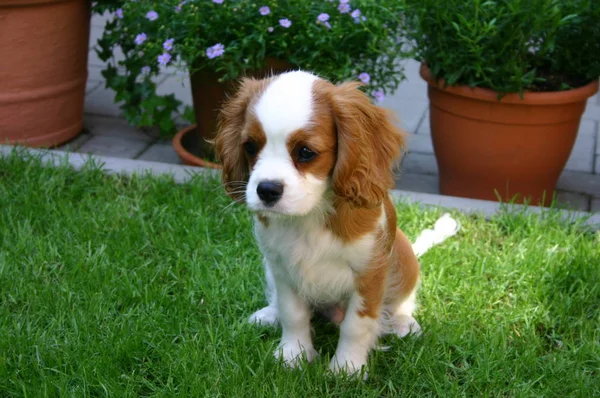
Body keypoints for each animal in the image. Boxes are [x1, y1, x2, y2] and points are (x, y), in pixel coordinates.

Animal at [216, 70, 454, 376]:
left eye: (306, 152)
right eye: (250, 147)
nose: (266, 190)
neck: (310, 215)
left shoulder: (370, 273)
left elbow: (356, 325)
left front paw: (347, 368)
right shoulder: (281, 267)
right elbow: (293, 314)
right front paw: (293, 355)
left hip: (403, 253)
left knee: (403, 298)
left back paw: (402, 322)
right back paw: (269, 314)